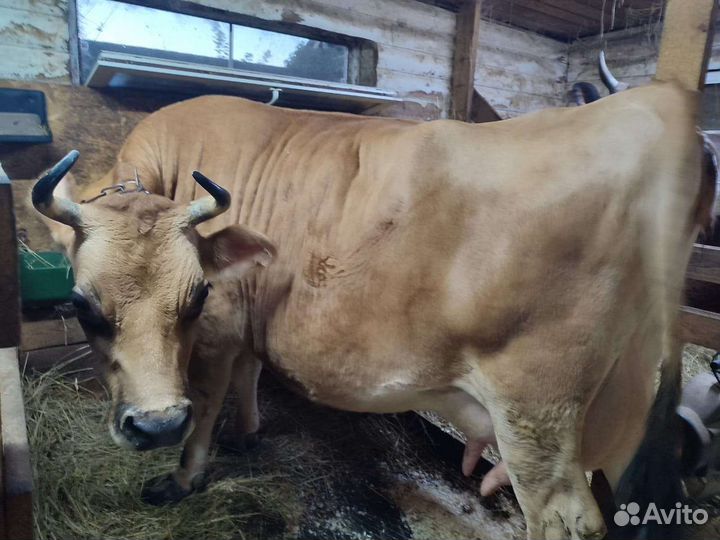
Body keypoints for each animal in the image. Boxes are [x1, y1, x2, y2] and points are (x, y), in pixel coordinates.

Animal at [33, 81, 711, 540]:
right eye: (83, 303)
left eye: (196, 296)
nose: (152, 428)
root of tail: (662, 108)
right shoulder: (250, 316)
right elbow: (251, 371)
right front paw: (248, 433)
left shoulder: (219, 330)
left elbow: (204, 401)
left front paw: (181, 478)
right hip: (628, 407)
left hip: (537, 416)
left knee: (566, 518)